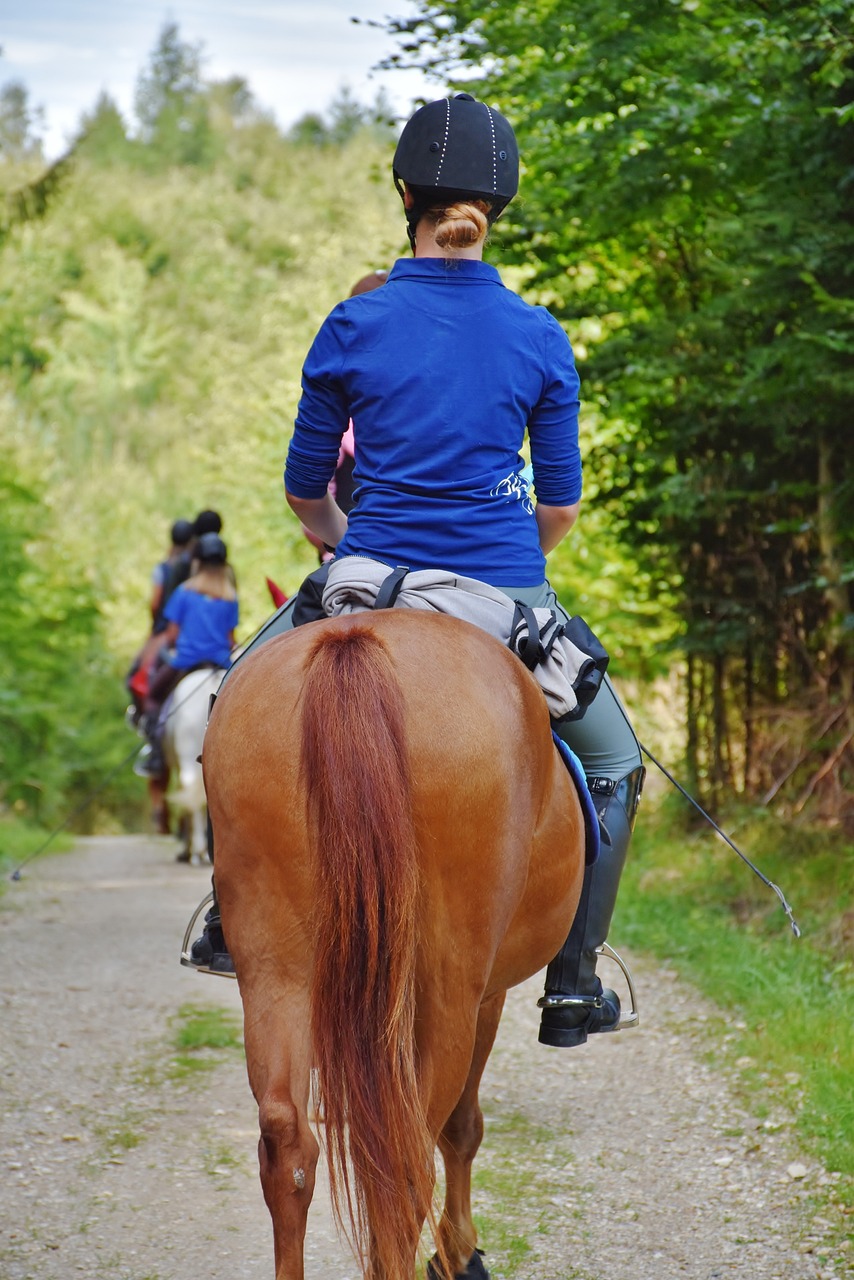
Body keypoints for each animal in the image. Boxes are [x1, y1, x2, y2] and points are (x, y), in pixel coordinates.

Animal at [203, 609, 583, 1280]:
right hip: (448, 992)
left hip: (277, 967)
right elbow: (462, 1126)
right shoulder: (486, 995)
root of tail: (354, 645)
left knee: (289, 1144)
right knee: (406, 1162)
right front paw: (459, 1250)